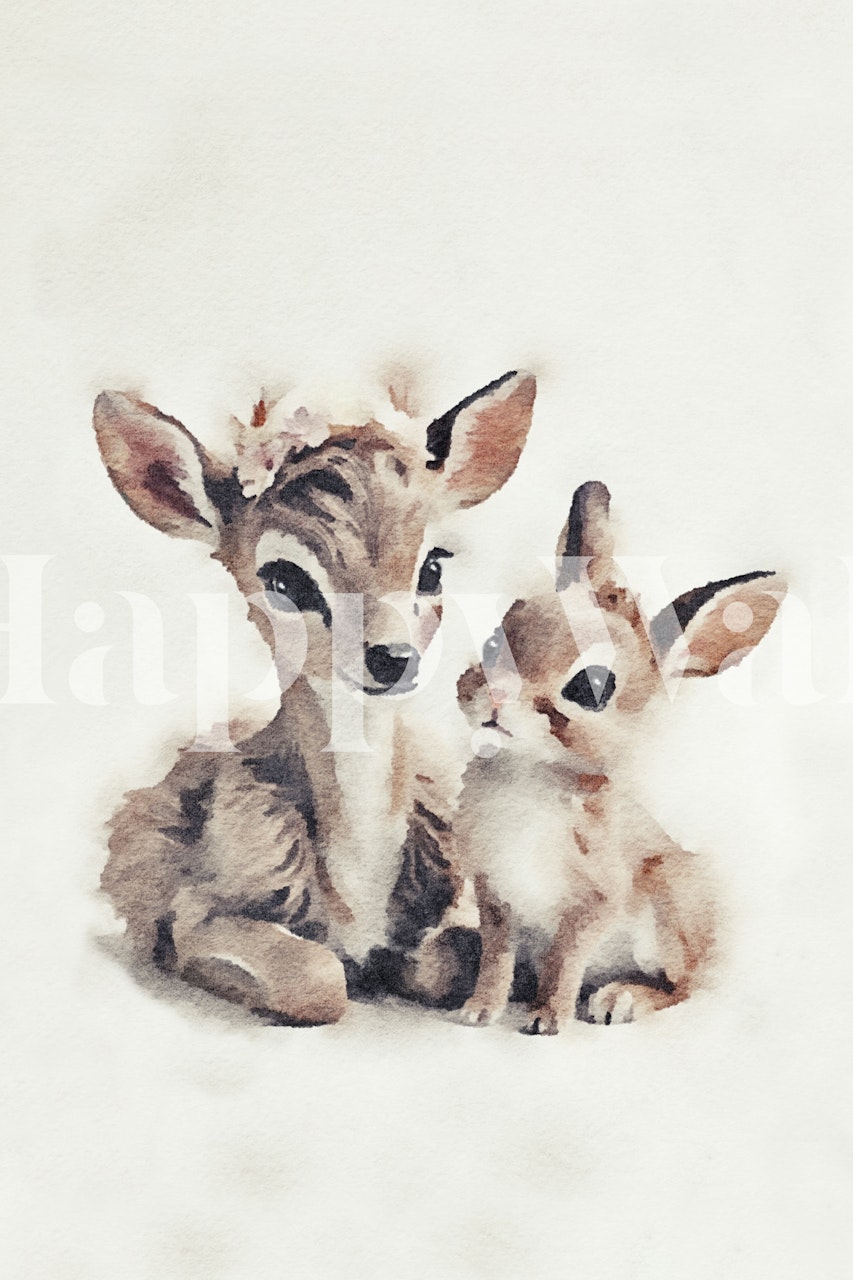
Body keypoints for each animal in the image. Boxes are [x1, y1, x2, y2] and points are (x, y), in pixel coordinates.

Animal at [92, 369, 536, 1024]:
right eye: (283, 577)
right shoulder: (198, 916)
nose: (392, 656)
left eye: (433, 565)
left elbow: (446, 958)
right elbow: (320, 978)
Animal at [452, 480, 786, 1034]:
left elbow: (565, 957)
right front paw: (477, 1012)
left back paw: (620, 1000)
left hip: (669, 906)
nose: (495, 699)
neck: (531, 770)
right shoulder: (495, 893)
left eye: (591, 688)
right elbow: (496, 955)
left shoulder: (597, 900)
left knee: (682, 988)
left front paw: (546, 1021)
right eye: (499, 637)